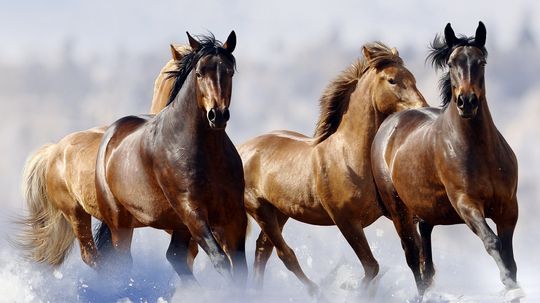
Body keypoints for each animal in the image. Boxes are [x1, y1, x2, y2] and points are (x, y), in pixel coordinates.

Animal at [94, 32, 247, 286]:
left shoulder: (234, 214)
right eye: (199, 73)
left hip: (178, 225)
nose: (217, 115)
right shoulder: (192, 211)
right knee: (123, 264)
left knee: (175, 256)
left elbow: (240, 267)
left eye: (229, 72)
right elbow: (221, 260)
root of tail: (110, 136)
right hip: (120, 224)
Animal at [238, 41, 428, 296]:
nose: (422, 108)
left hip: (280, 211)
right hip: (260, 209)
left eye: (412, 77)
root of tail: (241, 149)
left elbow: (413, 255)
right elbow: (372, 267)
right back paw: (316, 289)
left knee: (262, 250)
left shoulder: (398, 214)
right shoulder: (346, 221)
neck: (349, 156)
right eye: (392, 80)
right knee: (284, 254)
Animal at [372, 22, 524, 302]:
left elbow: (509, 255)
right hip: (399, 211)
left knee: (426, 260)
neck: (480, 153)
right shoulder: (466, 203)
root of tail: (390, 124)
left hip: (425, 212)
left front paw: (514, 286)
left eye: (481, 62)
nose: (467, 102)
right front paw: (509, 285)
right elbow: (492, 241)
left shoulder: (508, 208)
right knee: (413, 258)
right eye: (452, 63)